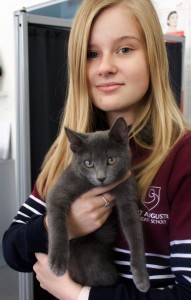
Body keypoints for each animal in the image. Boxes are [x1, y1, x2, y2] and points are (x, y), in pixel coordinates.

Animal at [46, 118, 151, 292]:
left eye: (111, 160)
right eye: (88, 163)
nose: (101, 178)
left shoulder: (127, 195)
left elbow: (135, 233)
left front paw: (141, 277)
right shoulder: (59, 192)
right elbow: (57, 225)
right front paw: (57, 261)